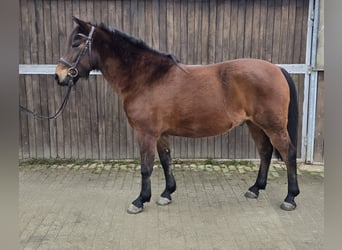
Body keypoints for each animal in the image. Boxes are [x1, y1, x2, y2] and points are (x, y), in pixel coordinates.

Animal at [55, 16, 300, 214]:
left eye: (76, 43)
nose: (59, 76)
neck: (147, 78)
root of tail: (277, 69)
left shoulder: (145, 133)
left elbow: (146, 167)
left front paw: (140, 201)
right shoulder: (161, 134)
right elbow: (166, 161)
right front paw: (166, 194)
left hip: (273, 126)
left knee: (288, 153)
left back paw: (290, 198)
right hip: (255, 125)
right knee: (265, 152)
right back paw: (255, 189)